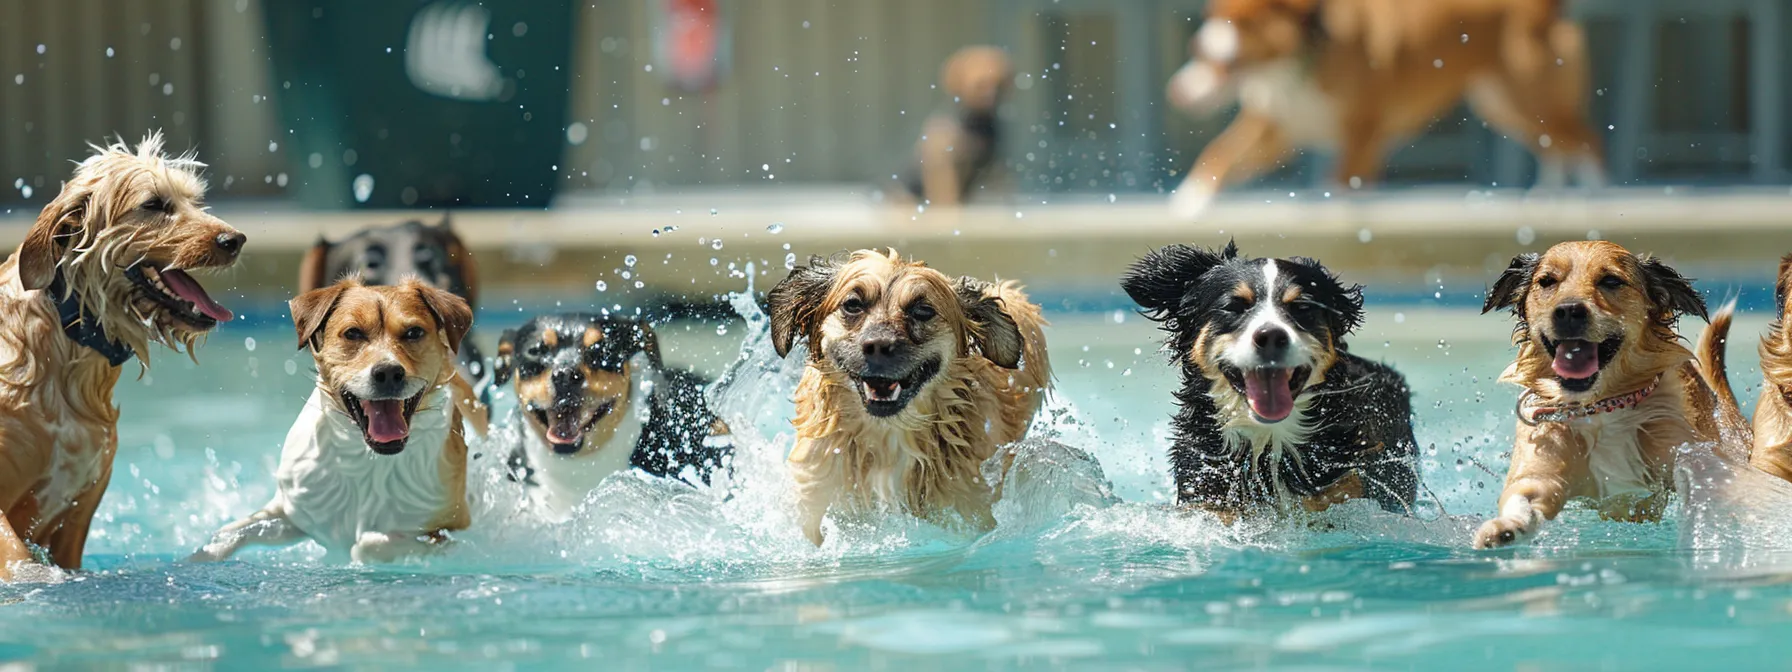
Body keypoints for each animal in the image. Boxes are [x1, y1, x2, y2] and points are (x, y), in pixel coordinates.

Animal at [194, 277, 483, 562]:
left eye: (413, 332)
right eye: (353, 333)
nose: (389, 373)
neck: (370, 461)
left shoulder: (451, 530)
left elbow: (368, 543)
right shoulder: (293, 510)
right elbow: (225, 534)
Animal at [1476, 240, 1741, 548]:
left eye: (1611, 281)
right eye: (1547, 281)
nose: (1568, 311)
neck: (1601, 407)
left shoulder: (1687, 450)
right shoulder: (1541, 466)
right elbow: (1523, 497)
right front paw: (1506, 527)